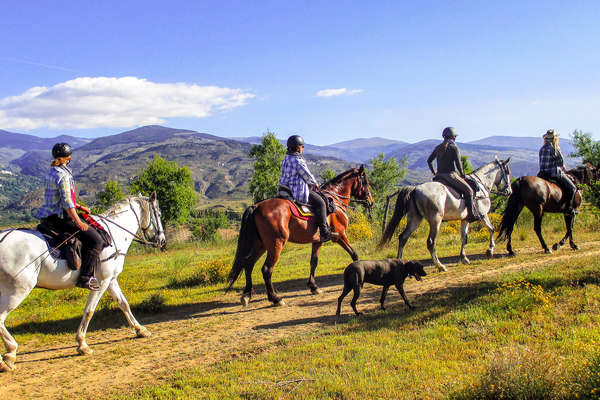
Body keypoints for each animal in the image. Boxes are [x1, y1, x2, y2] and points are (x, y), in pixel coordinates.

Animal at [0, 194, 166, 372]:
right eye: (159, 213)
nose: (162, 241)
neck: (114, 233)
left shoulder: (111, 279)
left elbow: (124, 304)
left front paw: (140, 329)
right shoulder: (102, 281)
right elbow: (89, 311)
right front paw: (82, 344)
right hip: (18, 290)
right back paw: (9, 355)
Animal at [226, 166, 372, 306]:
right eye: (365, 182)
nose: (371, 201)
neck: (335, 201)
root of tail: (256, 206)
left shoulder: (318, 241)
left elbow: (314, 262)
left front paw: (313, 287)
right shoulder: (340, 236)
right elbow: (354, 254)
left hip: (260, 245)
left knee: (248, 264)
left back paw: (247, 295)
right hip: (276, 245)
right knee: (266, 269)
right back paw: (275, 299)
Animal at [380, 159, 510, 272]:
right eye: (507, 172)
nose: (509, 191)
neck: (481, 185)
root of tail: (415, 188)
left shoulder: (465, 220)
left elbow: (464, 238)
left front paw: (464, 258)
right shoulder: (483, 215)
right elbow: (492, 229)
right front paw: (490, 251)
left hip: (415, 219)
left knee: (403, 237)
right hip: (435, 221)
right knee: (431, 242)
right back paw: (440, 266)